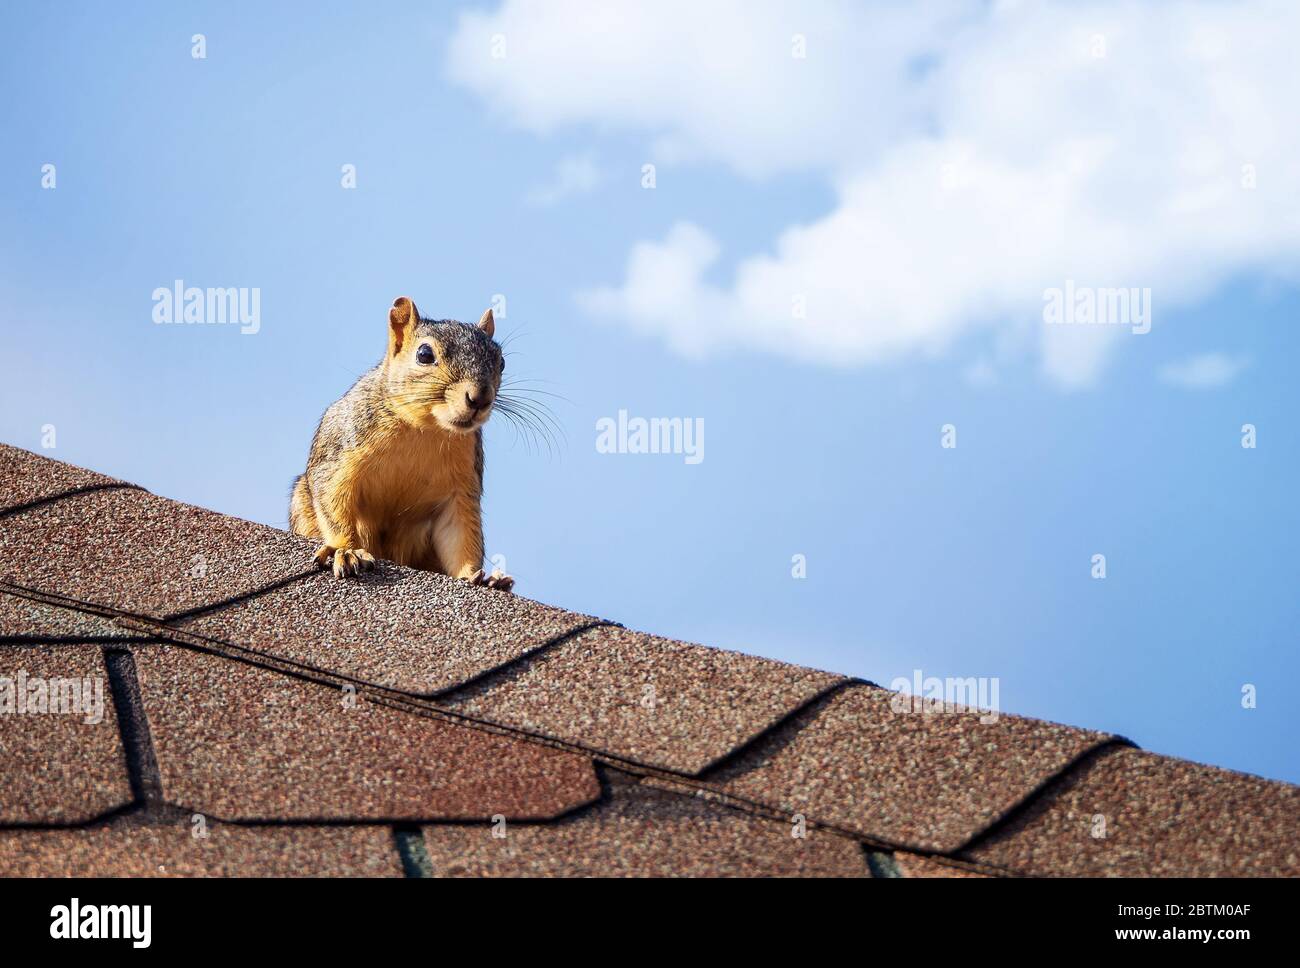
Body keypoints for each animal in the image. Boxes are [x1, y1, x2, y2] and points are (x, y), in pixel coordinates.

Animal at [289, 296, 512, 589]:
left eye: (502, 362)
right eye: (424, 354)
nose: (480, 398)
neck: (424, 429)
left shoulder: (460, 488)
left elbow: (460, 534)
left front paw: (476, 576)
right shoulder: (340, 455)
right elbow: (334, 501)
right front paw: (346, 550)